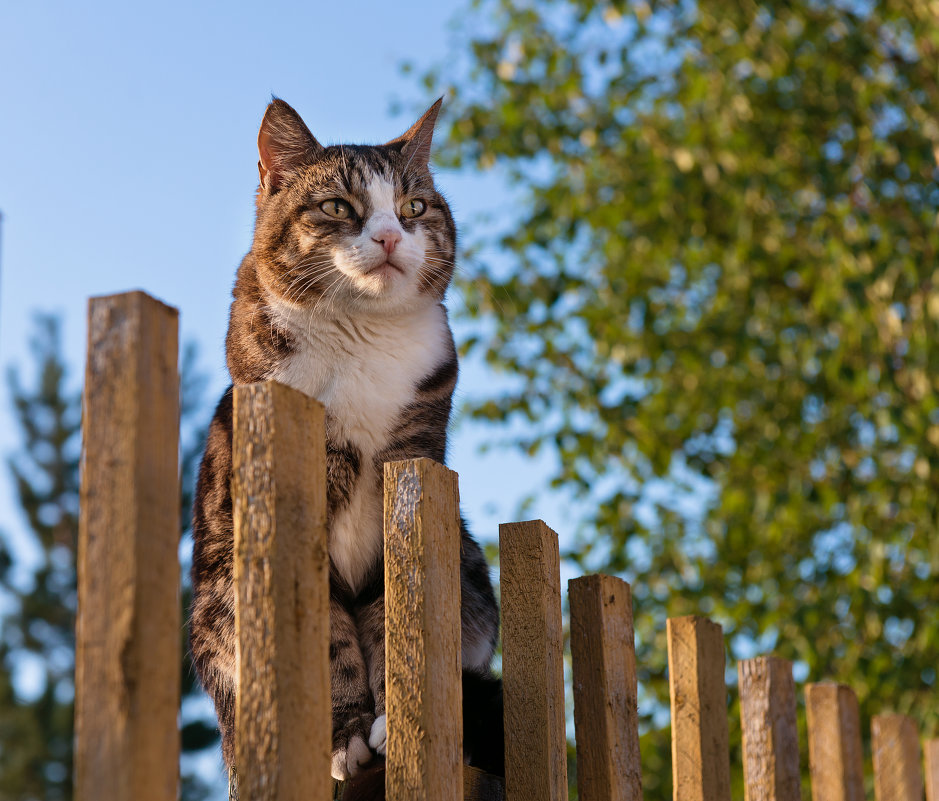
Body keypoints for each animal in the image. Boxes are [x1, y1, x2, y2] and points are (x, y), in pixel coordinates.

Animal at [187, 97, 504, 780]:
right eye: (338, 206)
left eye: (415, 207)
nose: (389, 235)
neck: (363, 343)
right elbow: (327, 636)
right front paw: (345, 735)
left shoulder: (412, 468)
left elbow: (394, 610)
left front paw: (396, 720)